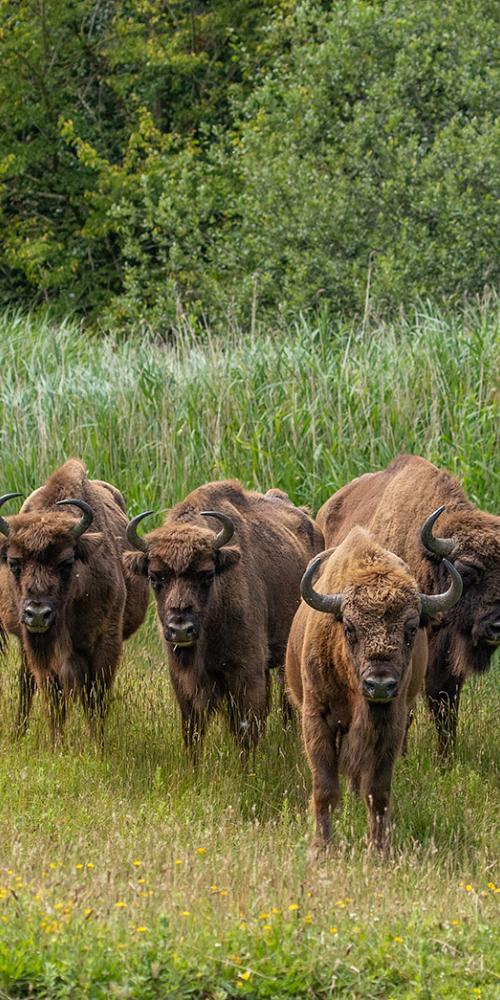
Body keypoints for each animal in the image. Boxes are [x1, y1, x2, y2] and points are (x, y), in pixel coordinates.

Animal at [0, 460, 148, 744]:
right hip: (25, 645)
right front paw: (56, 744)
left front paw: (96, 745)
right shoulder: (41, 653)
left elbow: (95, 700)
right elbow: (53, 701)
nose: (37, 614)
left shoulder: (105, 643)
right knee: (26, 683)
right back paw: (17, 733)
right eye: (14, 563)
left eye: (66, 562)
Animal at [123, 480, 322, 760]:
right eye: (155, 577)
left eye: (206, 575)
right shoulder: (183, 681)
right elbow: (193, 731)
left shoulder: (245, 673)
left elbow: (245, 731)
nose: (180, 629)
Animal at [284, 524, 462, 852]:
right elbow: (325, 787)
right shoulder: (316, 719)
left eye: (410, 628)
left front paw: (379, 850)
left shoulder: (391, 723)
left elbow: (378, 792)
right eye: (349, 627)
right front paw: (321, 848)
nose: (379, 685)